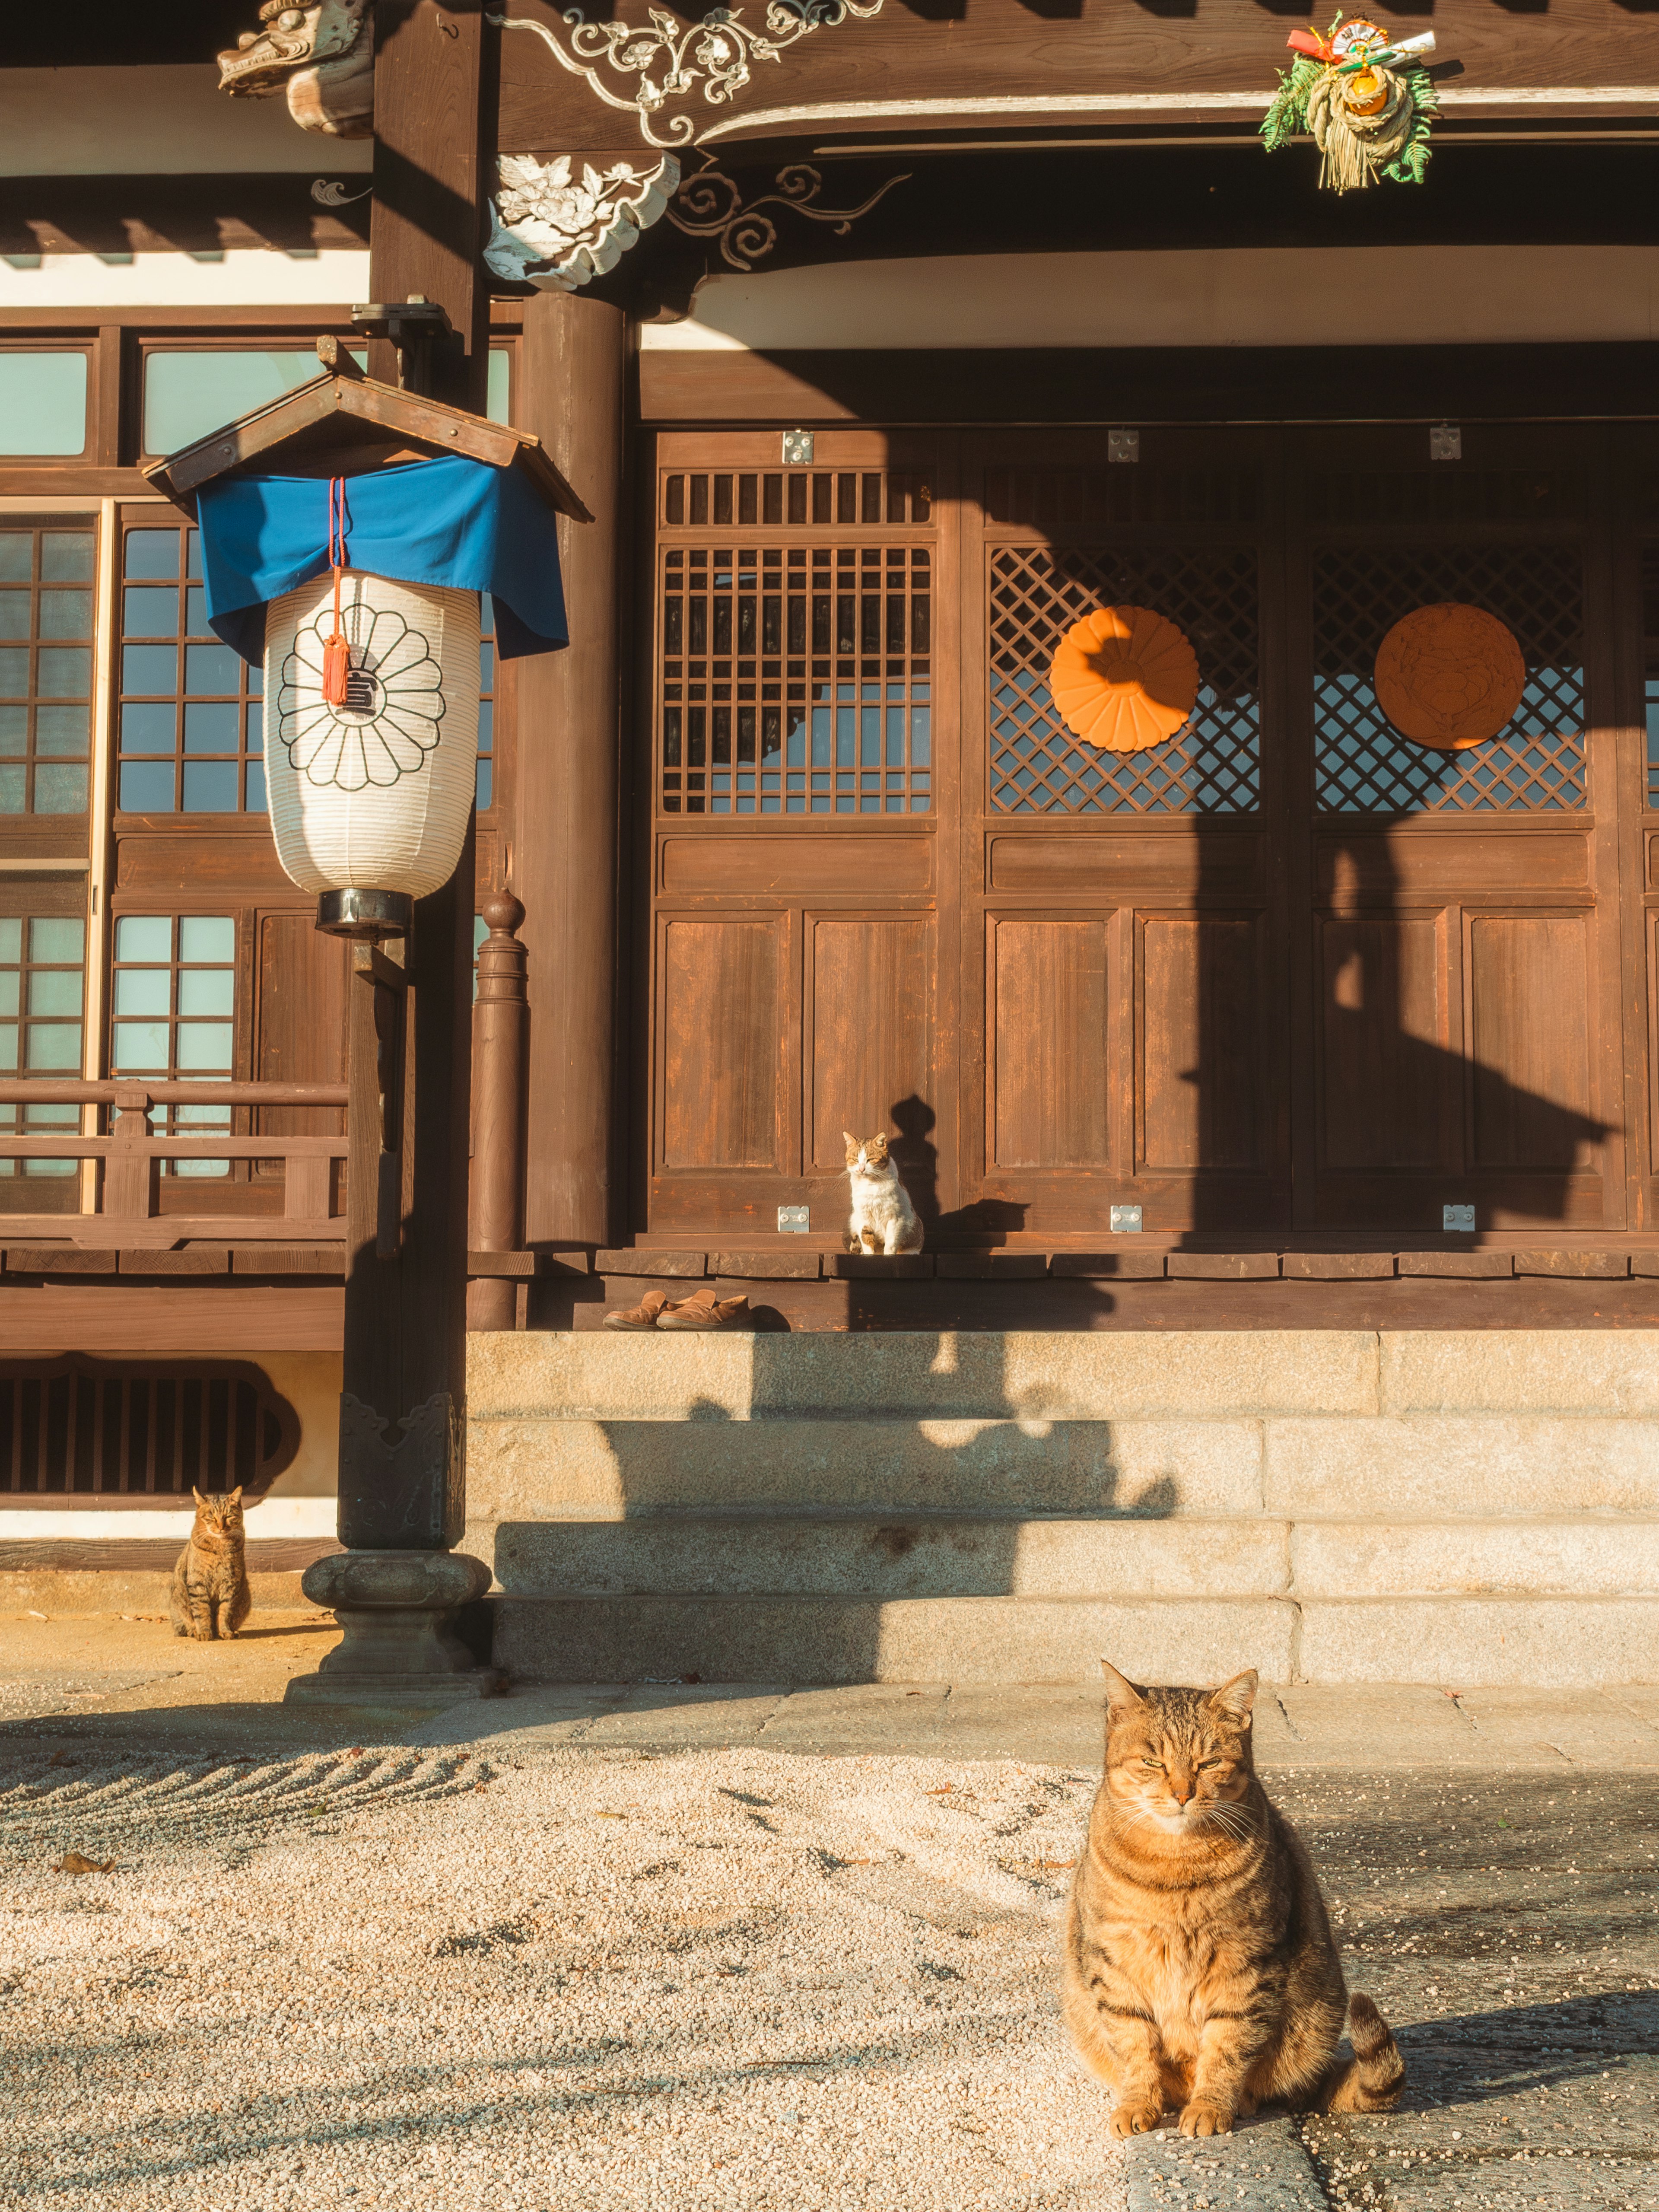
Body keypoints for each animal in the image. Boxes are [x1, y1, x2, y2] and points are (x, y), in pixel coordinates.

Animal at [167, 1486, 252, 1645]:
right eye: (212, 1517)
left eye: (229, 1516)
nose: (221, 1527)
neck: (220, 1547)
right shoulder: (198, 1583)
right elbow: (201, 1611)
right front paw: (205, 1632)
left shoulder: (230, 1584)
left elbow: (225, 1611)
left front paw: (225, 1631)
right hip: (178, 1604)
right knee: (185, 1627)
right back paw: (194, 1631)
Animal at [836, 1132, 929, 1256]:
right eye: (855, 1159)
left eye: (870, 1159)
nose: (861, 1169)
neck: (871, 1185)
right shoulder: (863, 1217)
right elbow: (867, 1241)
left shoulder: (895, 1217)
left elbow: (891, 1243)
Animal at [1066, 1663, 1407, 2132]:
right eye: (1153, 1762)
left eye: (1209, 1763)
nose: (1182, 1793)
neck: (1176, 1868)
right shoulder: (1115, 1961)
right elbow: (1132, 2045)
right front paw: (1138, 2103)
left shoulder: (1245, 1963)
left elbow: (1227, 2047)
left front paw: (1210, 2107)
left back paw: (1235, 2100)